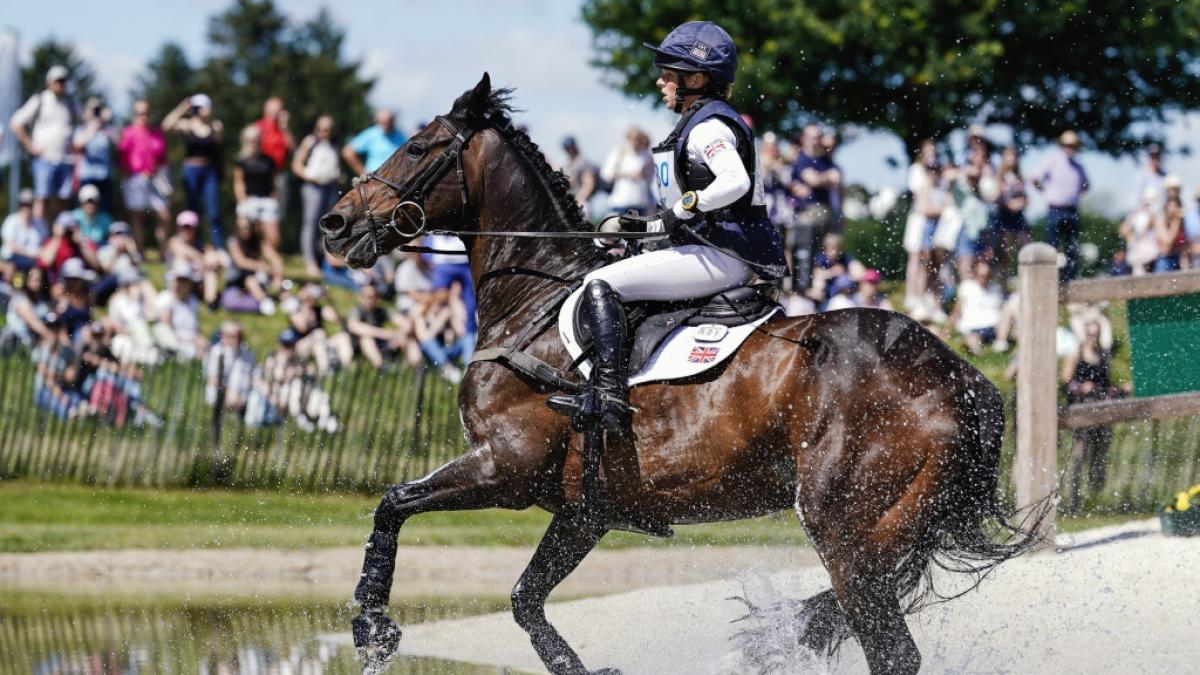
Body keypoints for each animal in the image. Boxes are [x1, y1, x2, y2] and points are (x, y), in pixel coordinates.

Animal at [321, 74, 1043, 675]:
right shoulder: (584, 509)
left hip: (846, 529)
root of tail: (962, 378)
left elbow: (392, 502)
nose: (334, 223)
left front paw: (372, 627)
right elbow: (525, 599)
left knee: (892, 652)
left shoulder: (505, 466)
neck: (531, 302)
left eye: (416, 148)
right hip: (886, 531)